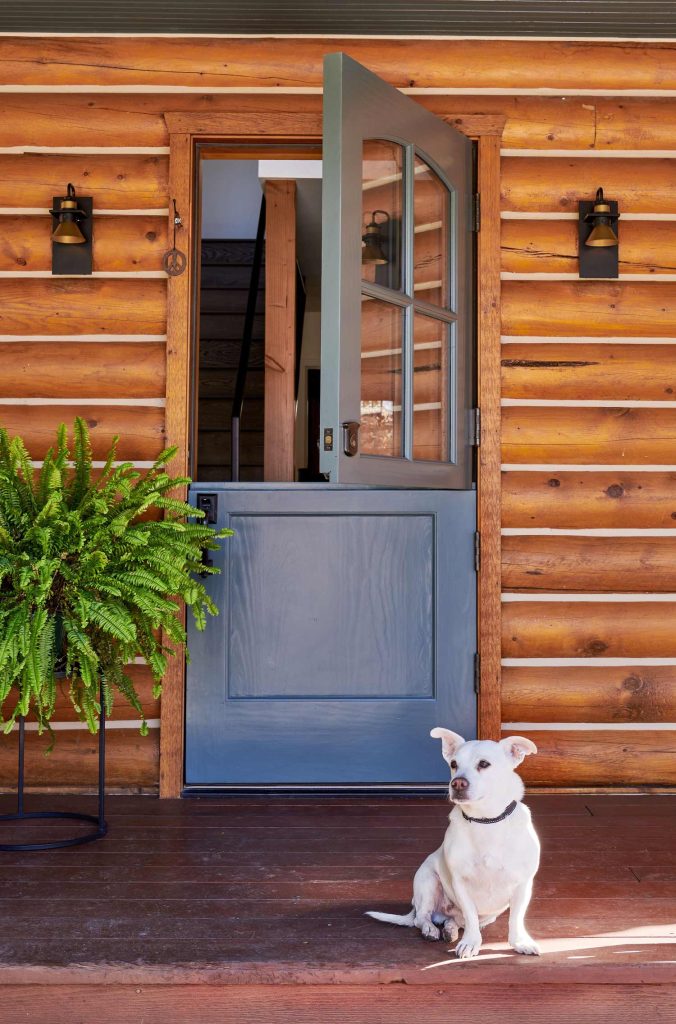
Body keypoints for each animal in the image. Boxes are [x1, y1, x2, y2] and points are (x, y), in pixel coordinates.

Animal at [366, 729, 540, 958]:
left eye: (484, 764)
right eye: (454, 764)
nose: (457, 783)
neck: (485, 821)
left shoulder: (522, 885)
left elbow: (516, 918)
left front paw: (520, 941)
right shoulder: (461, 883)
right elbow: (470, 916)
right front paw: (471, 942)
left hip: (487, 914)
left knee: (456, 921)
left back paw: (449, 929)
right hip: (428, 882)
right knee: (422, 917)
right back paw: (431, 929)